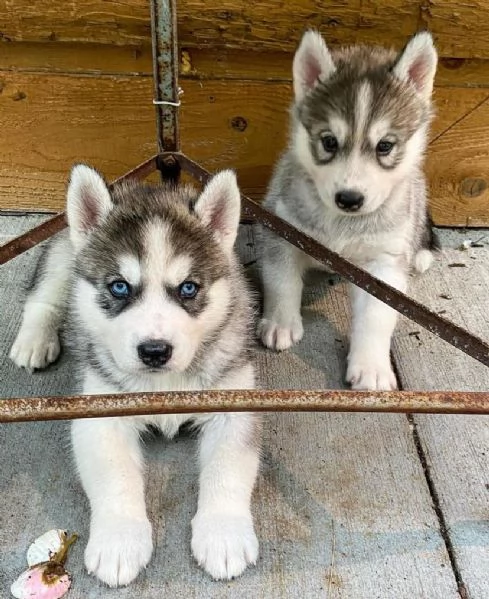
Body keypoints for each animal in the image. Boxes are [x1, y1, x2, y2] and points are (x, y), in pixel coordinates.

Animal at [9, 166, 262, 588]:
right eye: (119, 287)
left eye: (188, 288)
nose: (155, 350)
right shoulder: (99, 413)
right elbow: (115, 476)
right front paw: (119, 541)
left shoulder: (235, 401)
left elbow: (227, 467)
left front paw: (223, 534)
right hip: (64, 256)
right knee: (44, 295)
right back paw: (34, 339)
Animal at [260, 30, 438, 392]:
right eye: (329, 142)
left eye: (385, 146)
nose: (349, 198)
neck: (343, 223)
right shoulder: (281, 229)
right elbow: (281, 281)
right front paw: (280, 321)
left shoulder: (384, 263)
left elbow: (376, 316)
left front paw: (371, 367)